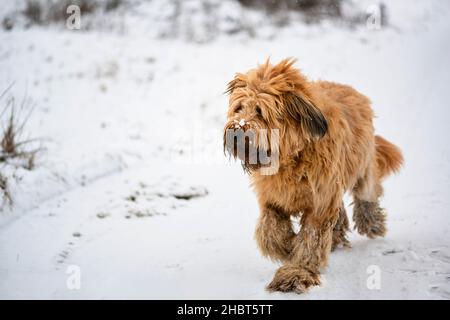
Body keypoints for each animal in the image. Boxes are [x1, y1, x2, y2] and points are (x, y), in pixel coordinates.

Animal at [223, 58, 402, 294]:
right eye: (239, 108)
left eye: (260, 111)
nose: (237, 130)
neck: (290, 157)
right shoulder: (273, 200)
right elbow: (269, 233)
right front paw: (288, 246)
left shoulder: (320, 204)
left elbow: (311, 240)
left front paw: (295, 273)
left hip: (362, 165)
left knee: (368, 191)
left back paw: (371, 222)